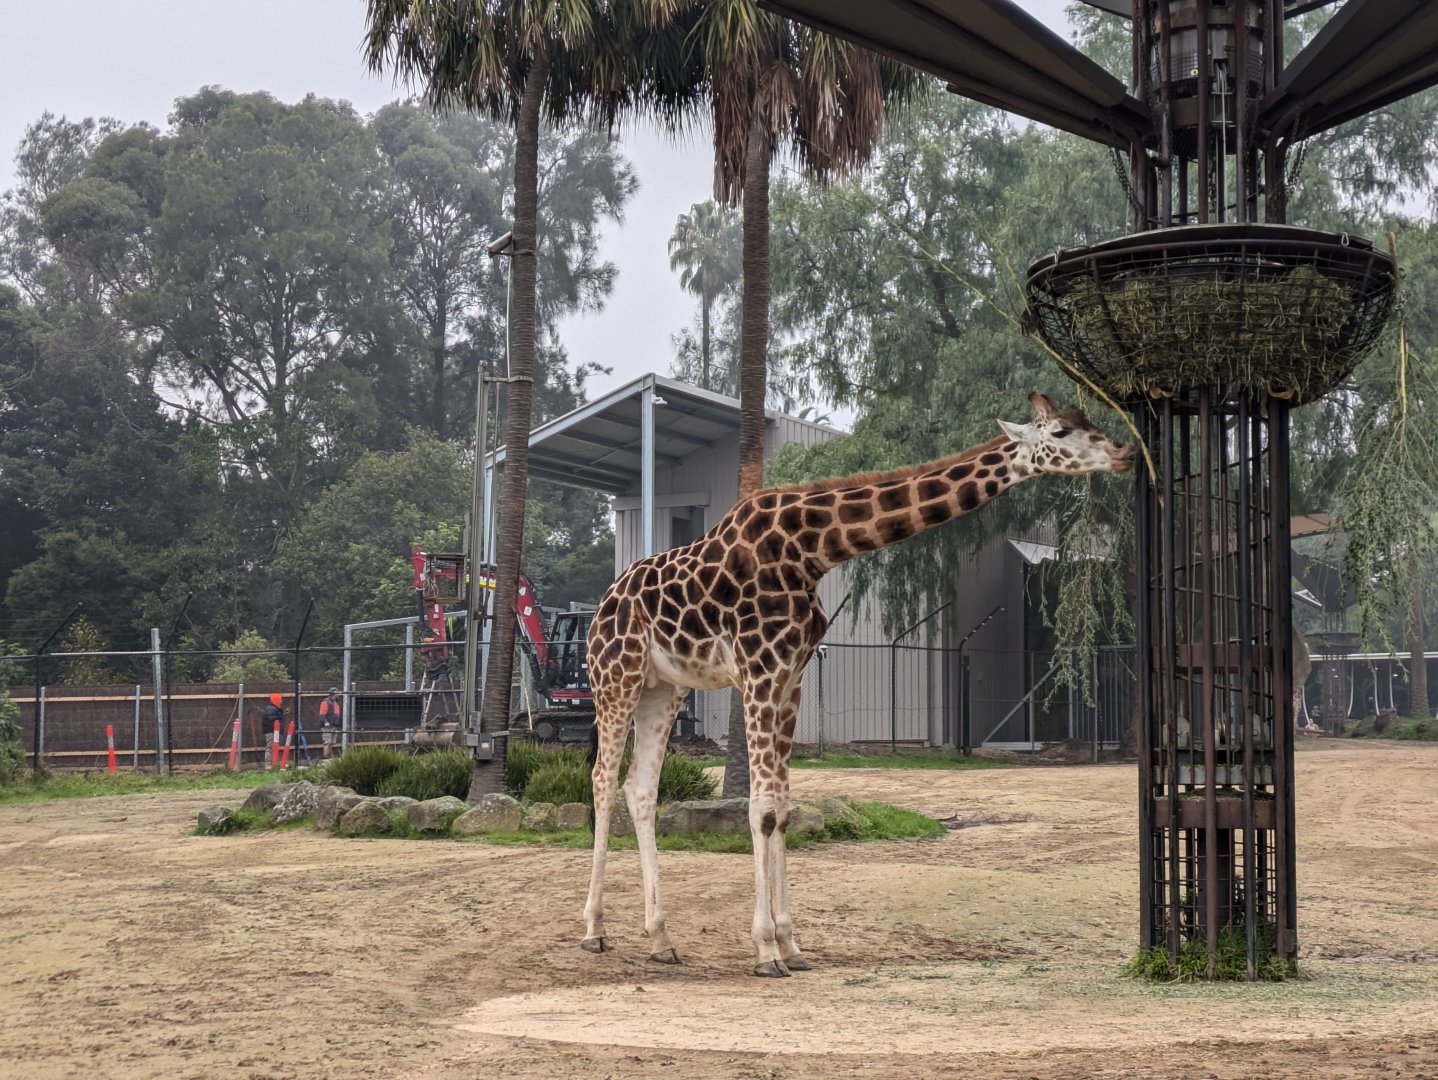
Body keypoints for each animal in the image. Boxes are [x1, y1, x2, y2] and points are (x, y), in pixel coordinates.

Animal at [581, 392, 1134, 976]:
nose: (1123, 452)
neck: (814, 551)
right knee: (602, 780)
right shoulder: (759, 670)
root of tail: (601, 607)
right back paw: (594, 930)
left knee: (640, 788)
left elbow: (782, 810)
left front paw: (791, 944)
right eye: (1061, 431)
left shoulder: (792, 678)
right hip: (616, 679)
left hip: (664, 689)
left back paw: (660, 939)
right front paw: (764, 949)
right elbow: (760, 809)